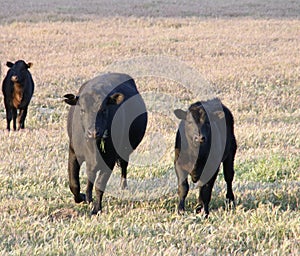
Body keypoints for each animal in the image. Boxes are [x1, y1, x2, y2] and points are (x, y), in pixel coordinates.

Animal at [63, 73, 148, 215]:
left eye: (103, 110)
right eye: (82, 110)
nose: (93, 132)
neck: (93, 147)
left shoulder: (110, 159)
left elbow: (100, 184)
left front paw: (96, 209)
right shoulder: (73, 153)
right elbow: (74, 183)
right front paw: (82, 198)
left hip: (124, 151)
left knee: (123, 167)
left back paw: (123, 188)